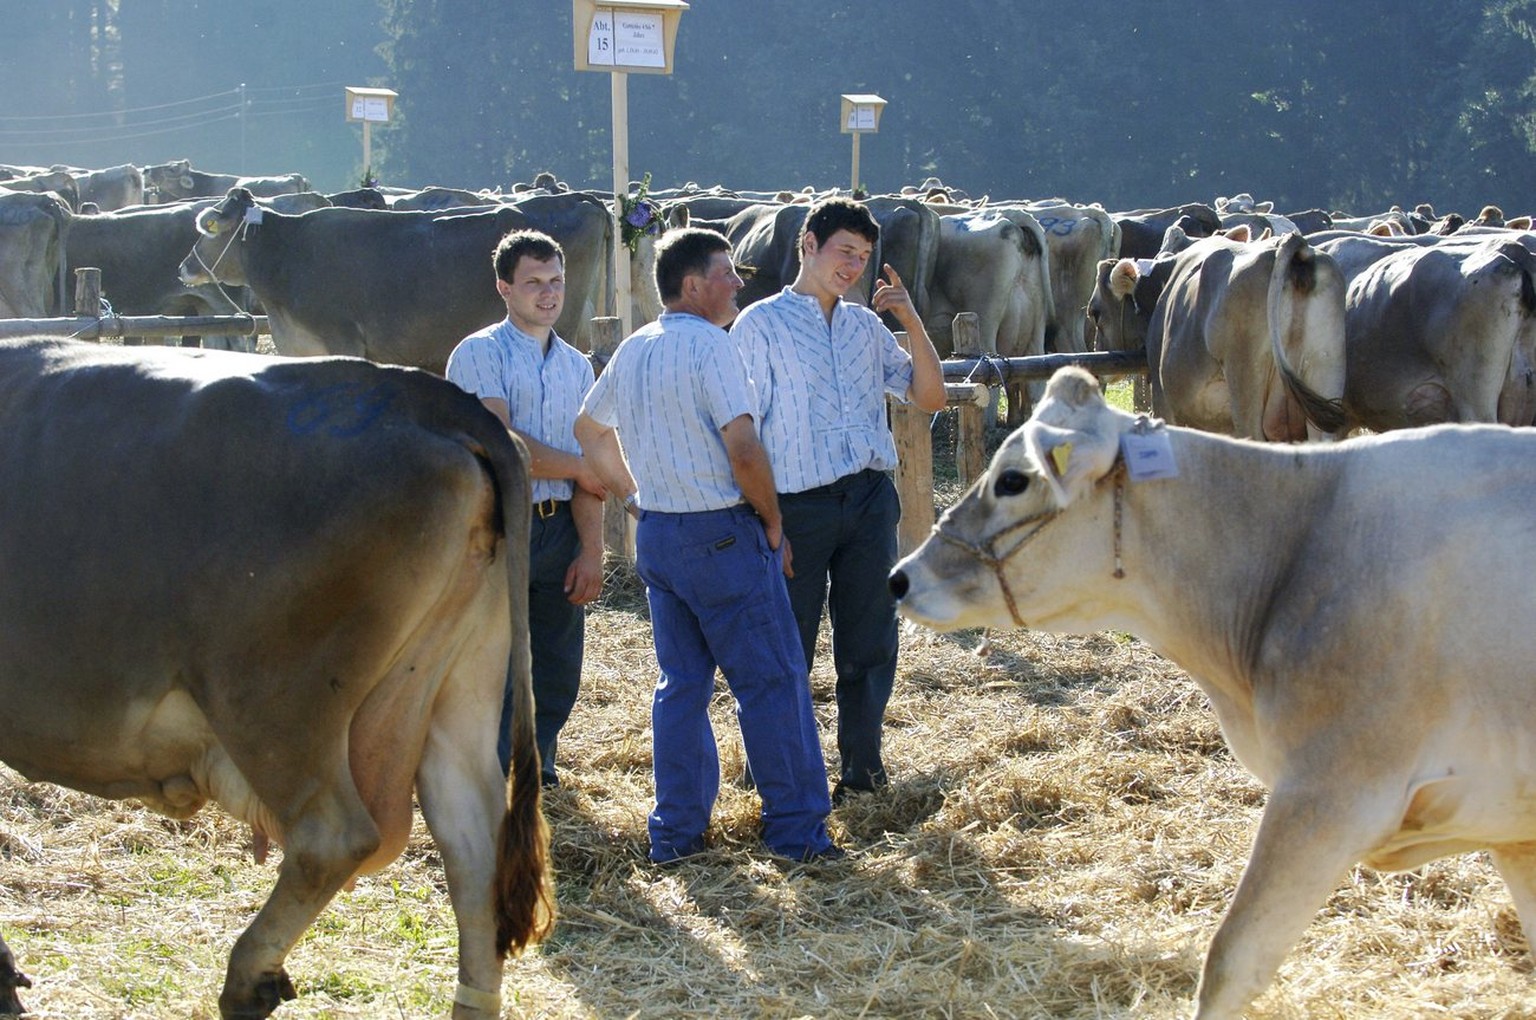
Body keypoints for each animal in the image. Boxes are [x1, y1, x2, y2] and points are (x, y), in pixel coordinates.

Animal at [0, 337, 552, 1013]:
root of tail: (422, 394)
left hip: (272, 706)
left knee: (333, 836)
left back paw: (248, 978)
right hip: (457, 686)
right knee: (472, 846)